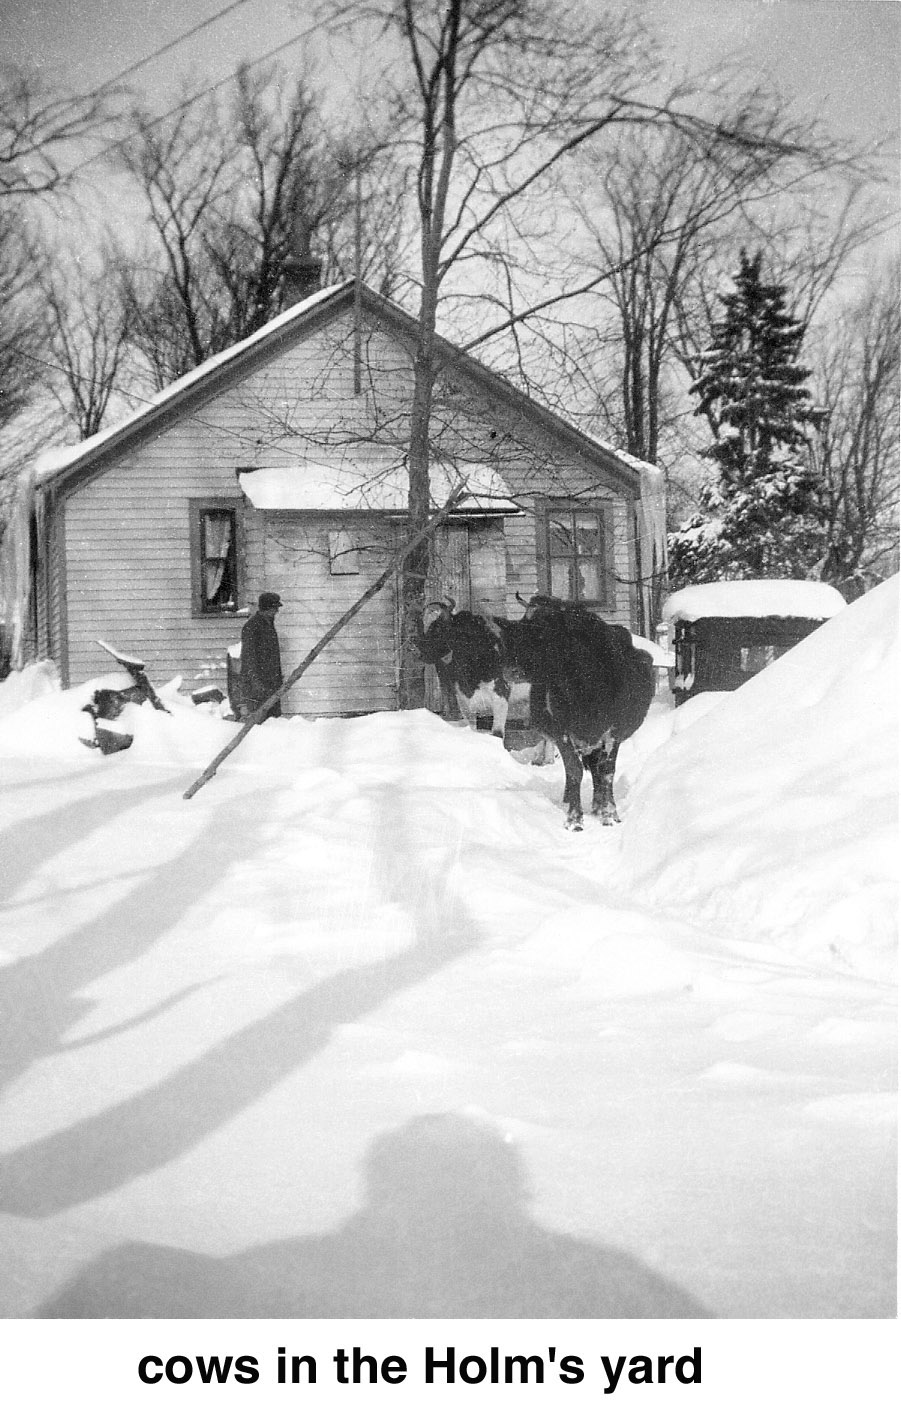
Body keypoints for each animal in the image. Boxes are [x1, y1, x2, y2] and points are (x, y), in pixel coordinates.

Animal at [416, 589, 654, 827]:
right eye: (428, 625)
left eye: (439, 627)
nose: (421, 651)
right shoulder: (465, 702)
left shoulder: (501, 696)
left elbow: (498, 734)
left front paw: (604, 815)